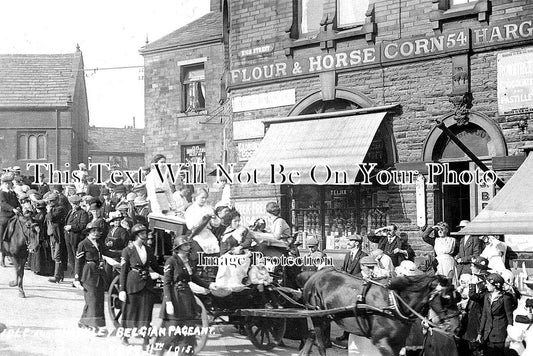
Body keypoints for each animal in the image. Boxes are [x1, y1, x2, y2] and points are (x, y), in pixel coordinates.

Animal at [298, 268, 460, 354]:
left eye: (457, 296)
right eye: (446, 297)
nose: (457, 326)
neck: (394, 304)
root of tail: (315, 275)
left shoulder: (398, 343)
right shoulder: (380, 341)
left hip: (325, 317)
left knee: (312, 335)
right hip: (318, 316)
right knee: (320, 344)